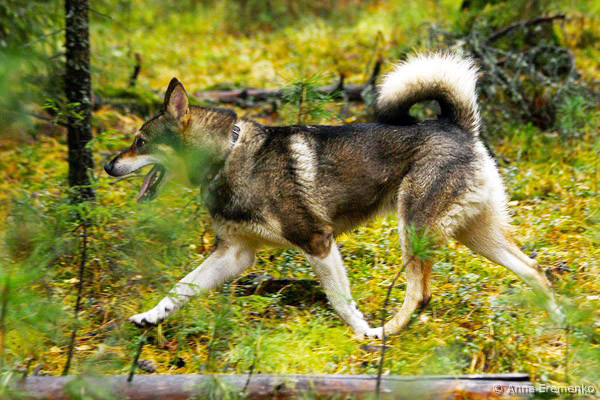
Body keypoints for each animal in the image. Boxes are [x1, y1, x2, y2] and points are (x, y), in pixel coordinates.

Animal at [105, 53, 564, 339]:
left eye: (139, 141)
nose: (108, 165)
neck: (231, 155)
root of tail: (457, 126)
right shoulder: (234, 254)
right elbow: (179, 289)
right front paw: (150, 316)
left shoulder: (317, 241)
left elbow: (342, 302)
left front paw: (360, 333)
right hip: (475, 235)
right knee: (533, 269)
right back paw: (561, 322)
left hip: (414, 229)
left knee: (420, 292)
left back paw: (385, 332)